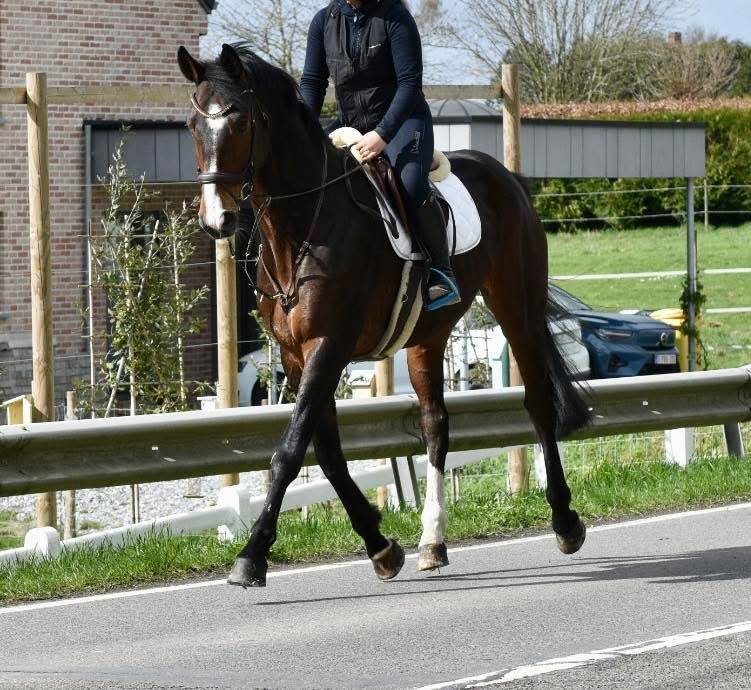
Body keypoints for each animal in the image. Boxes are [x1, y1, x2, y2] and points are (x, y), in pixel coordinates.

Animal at [177, 42, 591, 588]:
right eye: (191, 125)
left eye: (241, 122)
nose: (216, 219)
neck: (303, 228)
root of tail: (508, 178)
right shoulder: (295, 357)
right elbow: (327, 453)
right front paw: (381, 547)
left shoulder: (327, 348)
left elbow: (290, 450)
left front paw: (253, 554)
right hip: (427, 337)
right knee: (435, 424)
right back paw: (432, 541)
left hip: (515, 304)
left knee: (539, 402)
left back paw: (565, 521)